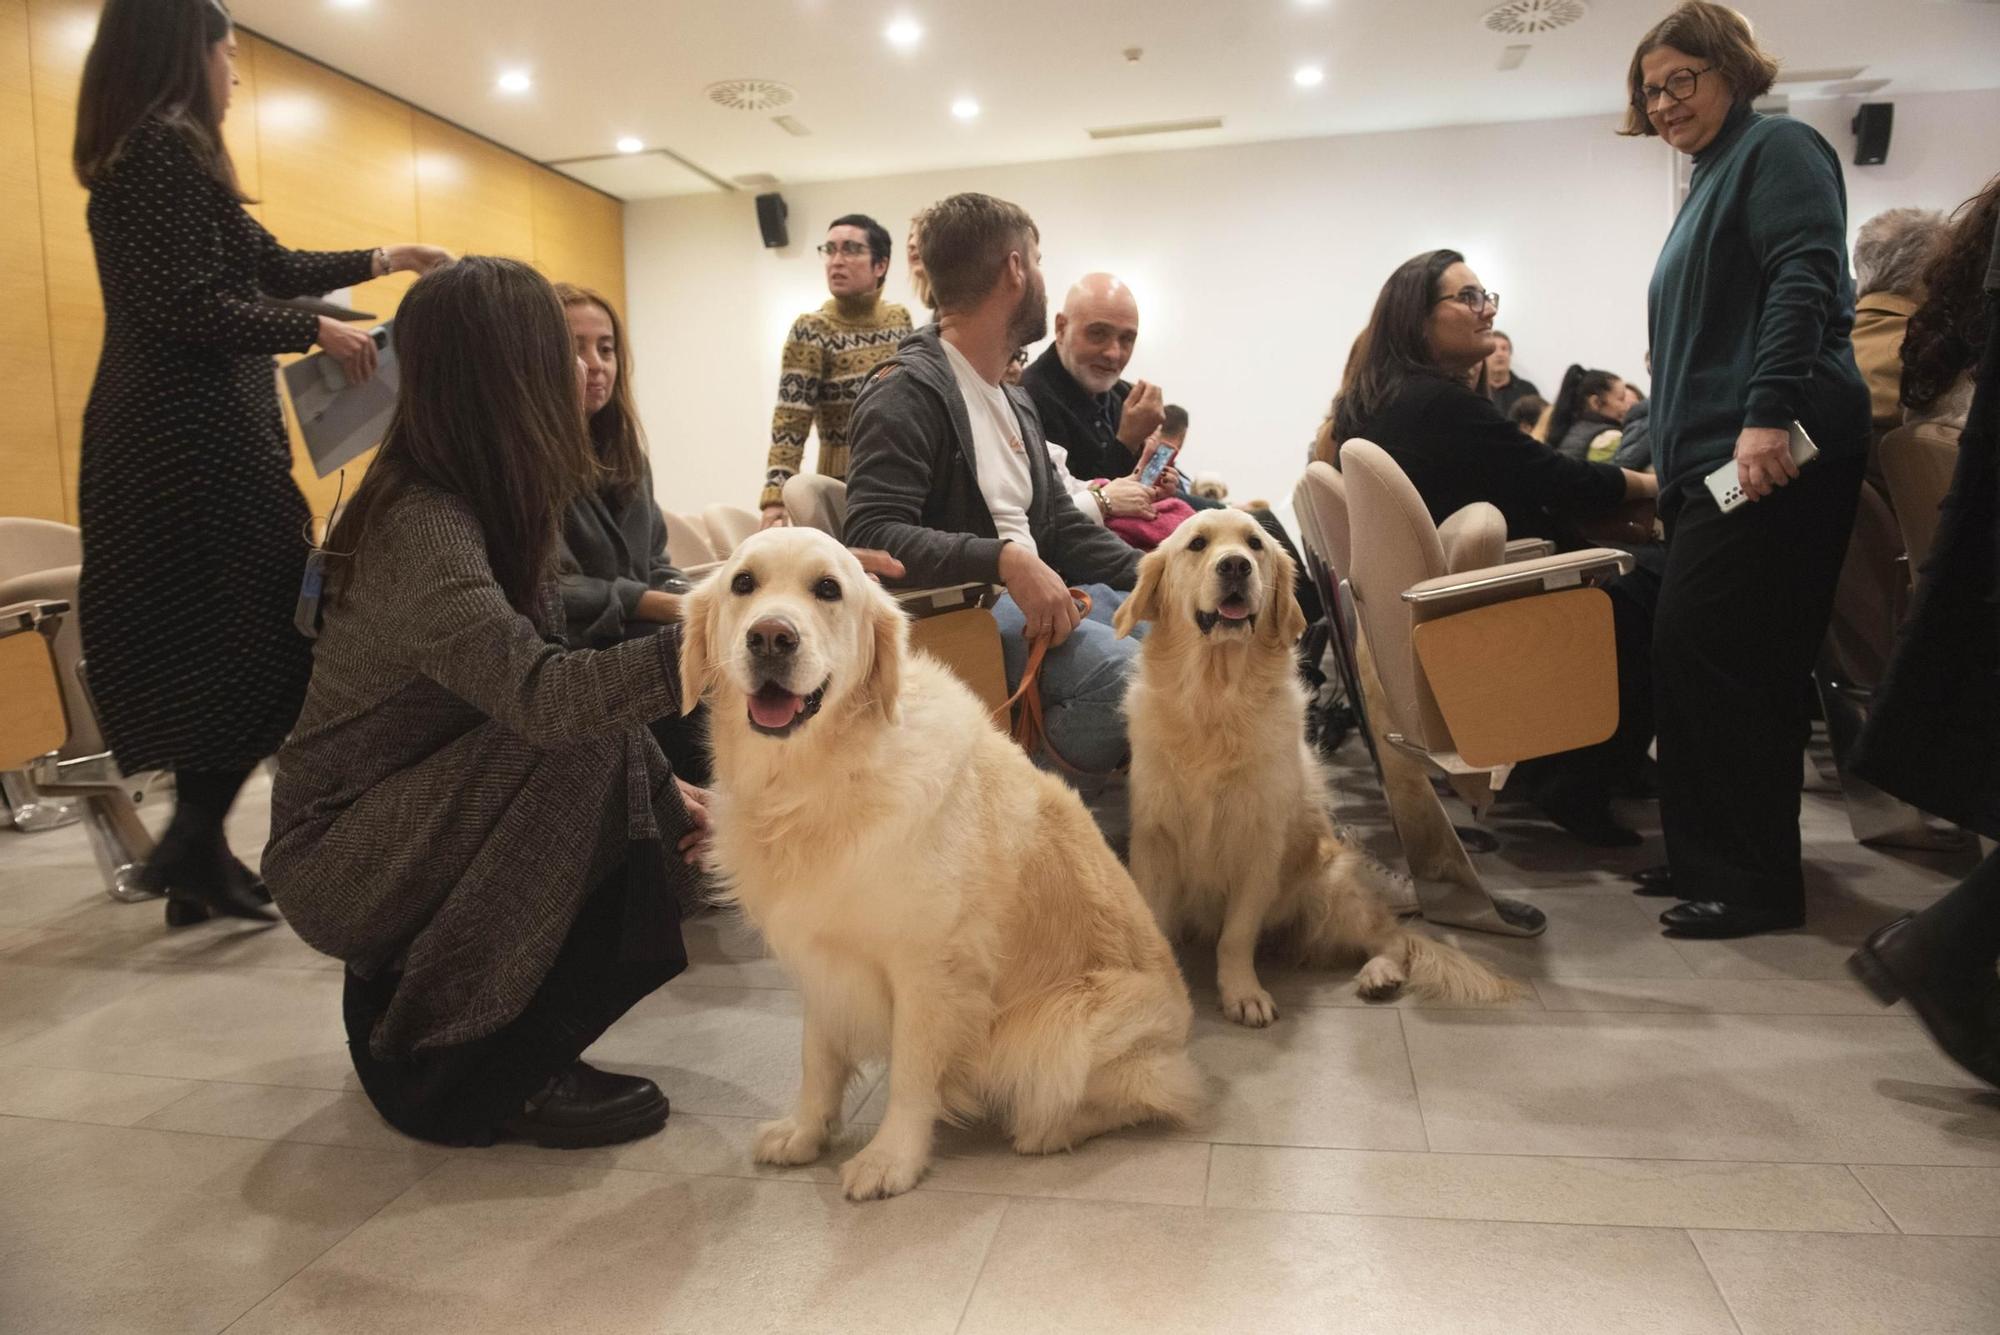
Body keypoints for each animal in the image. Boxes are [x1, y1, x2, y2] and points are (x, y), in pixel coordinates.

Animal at [672, 523, 1200, 1199]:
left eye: (827, 589)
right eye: (743, 583)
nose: (770, 637)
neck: (818, 781)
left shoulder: (929, 967)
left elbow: (912, 1074)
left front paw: (890, 1158)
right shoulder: (821, 958)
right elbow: (818, 1058)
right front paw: (805, 1132)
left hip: (1061, 1028)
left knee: (1139, 1094)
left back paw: (1046, 1131)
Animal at [1112, 507, 1512, 1023]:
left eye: (1255, 544)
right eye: (1197, 544)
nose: (1236, 566)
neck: (1217, 700)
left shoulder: (1259, 845)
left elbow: (1236, 936)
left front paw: (1242, 992)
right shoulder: (1154, 840)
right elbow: (1155, 924)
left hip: (1332, 890)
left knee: (1391, 940)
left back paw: (1379, 975)